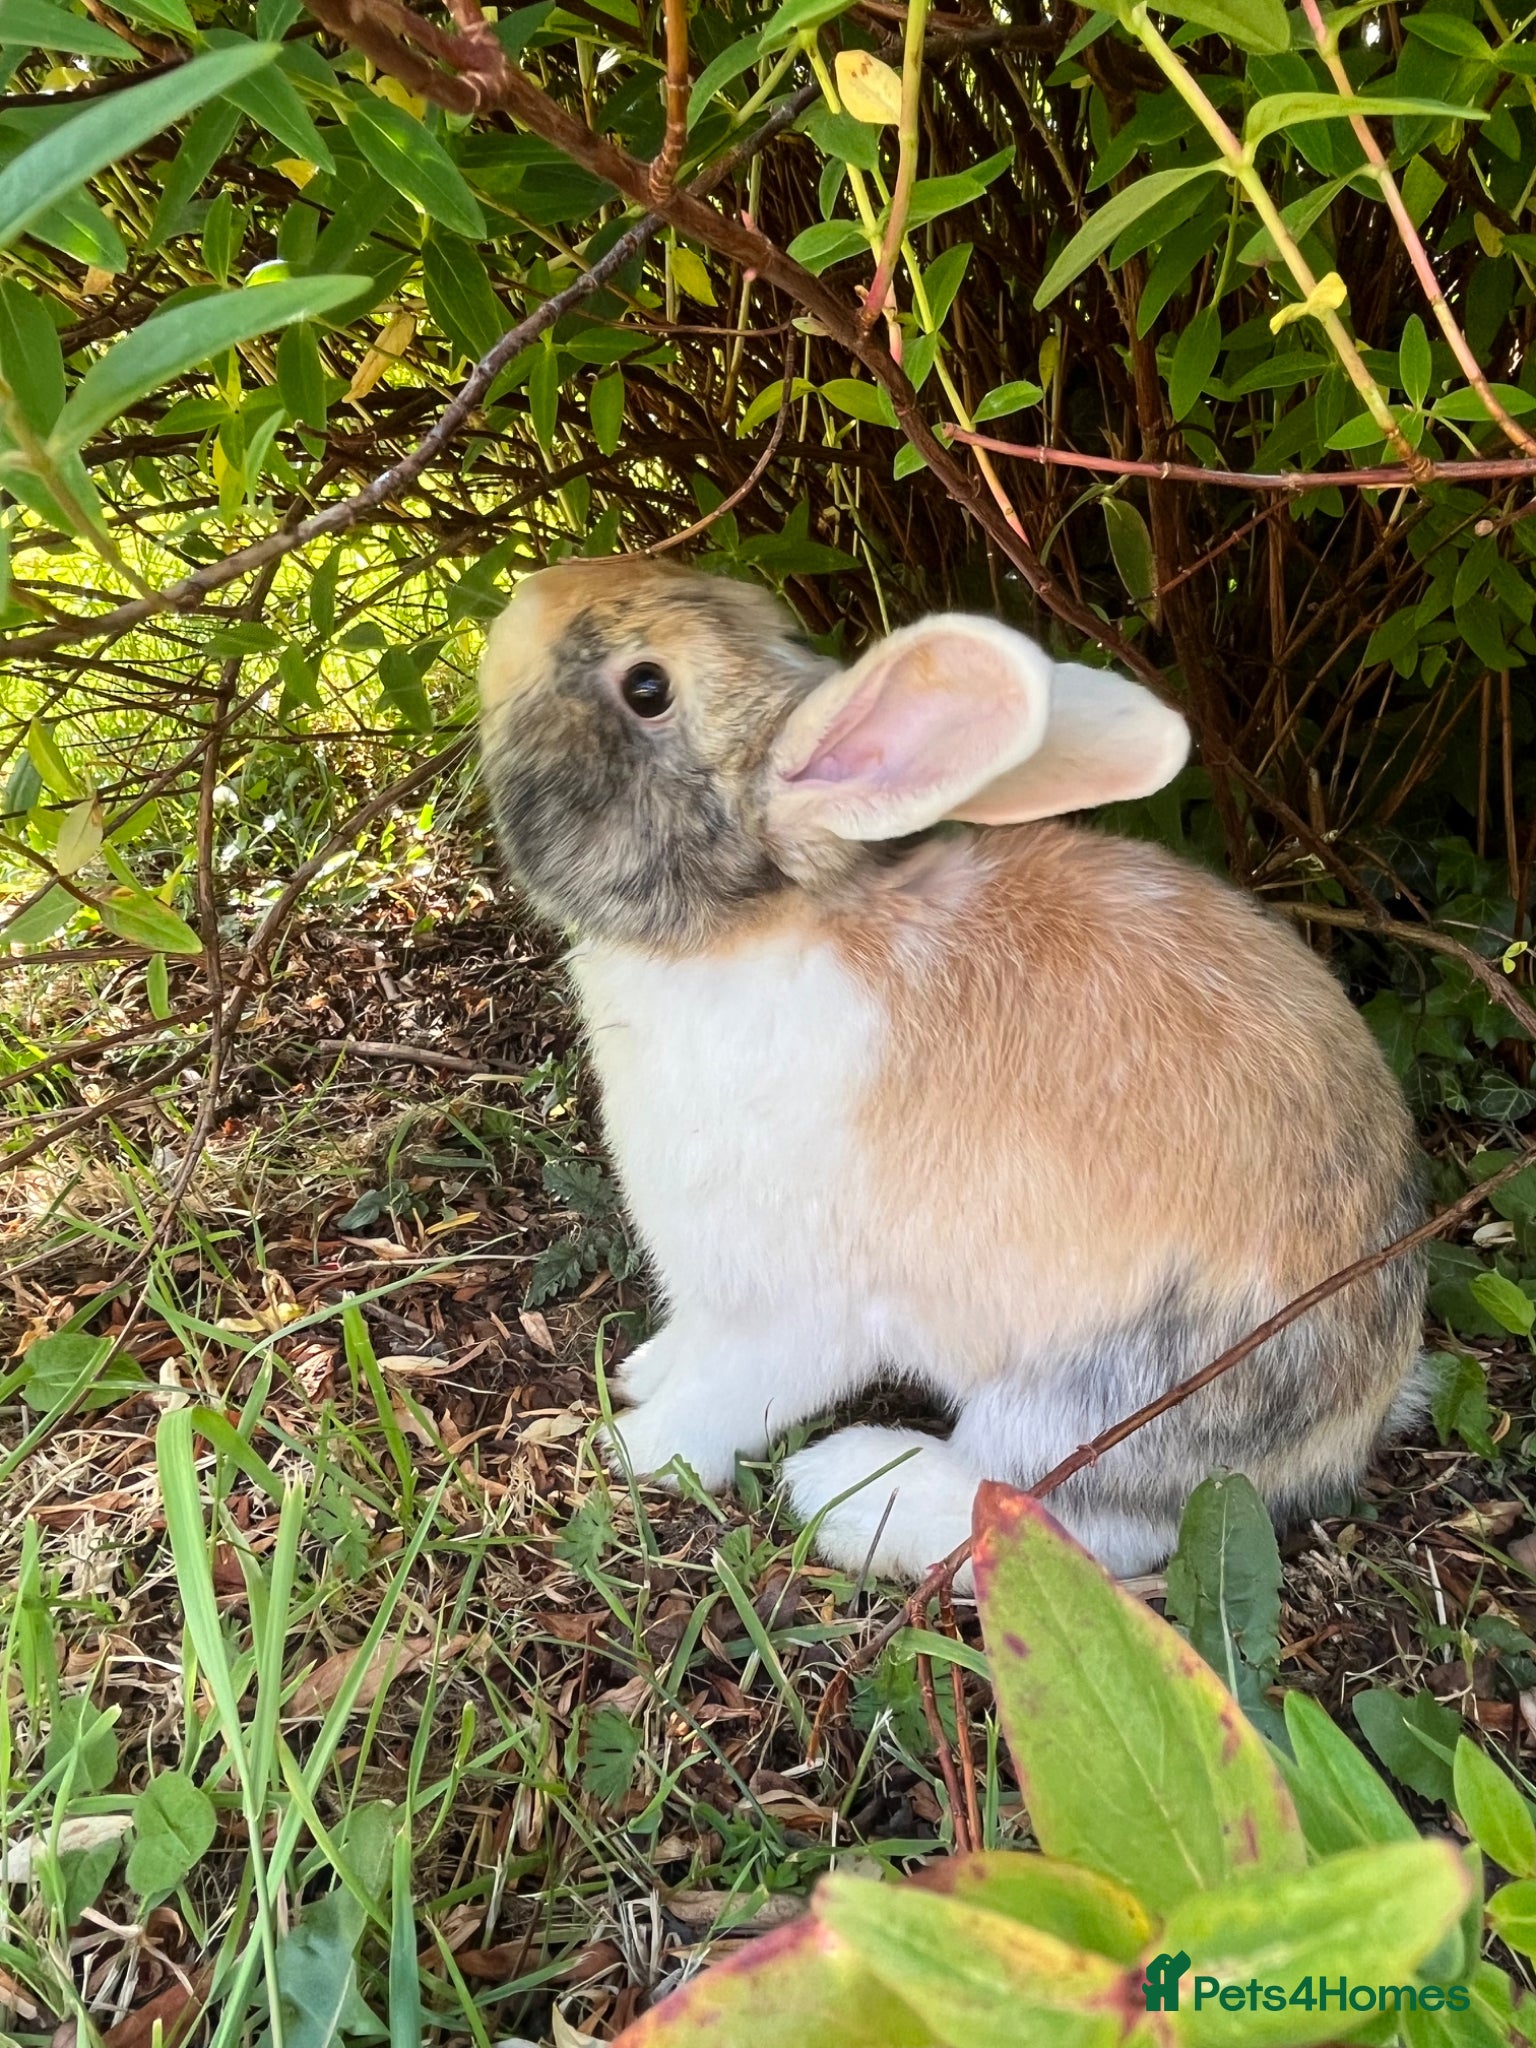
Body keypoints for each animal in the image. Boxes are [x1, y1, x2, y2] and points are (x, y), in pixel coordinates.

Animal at [478, 556, 1424, 1582]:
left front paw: (636, 1448)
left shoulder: (791, 1308)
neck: (748, 931)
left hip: (1104, 1394)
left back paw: (849, 1493)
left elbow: (727, 1396)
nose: (530, 592)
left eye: (647, 687)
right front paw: (642, 1373)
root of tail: (1364, 1407)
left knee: (1069, 1516)